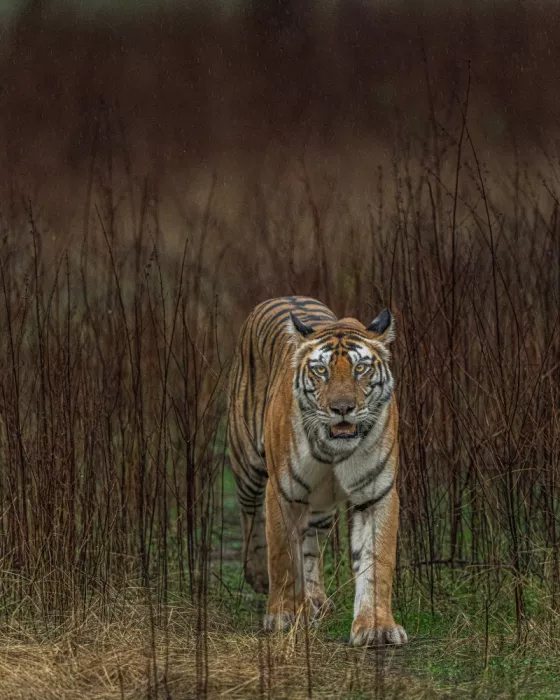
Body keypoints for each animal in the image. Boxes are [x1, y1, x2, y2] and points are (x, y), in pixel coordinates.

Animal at [227, 296, 407, 646]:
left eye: (360, 369)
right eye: (321, 370)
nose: (342, 409)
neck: (334, 448)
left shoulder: (375, 494)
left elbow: (376, 561)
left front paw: (376, 627)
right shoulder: (284, 492)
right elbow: (283, 556)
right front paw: (283, 616)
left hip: (321, 505)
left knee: (310, 545)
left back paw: (314, 601)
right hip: (247, 462)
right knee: (250, 514)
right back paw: (259, 577)